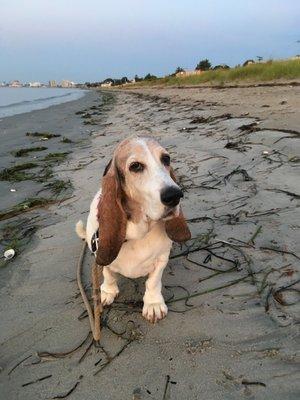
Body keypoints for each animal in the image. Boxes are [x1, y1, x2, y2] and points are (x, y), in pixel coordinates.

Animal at [76, 137, 191, 322]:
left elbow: (153, 282)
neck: (137, 234)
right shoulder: (99, 253)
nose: (174, 195)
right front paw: (107, 292)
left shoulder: (161, 259)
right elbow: (108, 273)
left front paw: (153, 304)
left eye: (166, 159)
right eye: (135, 166)